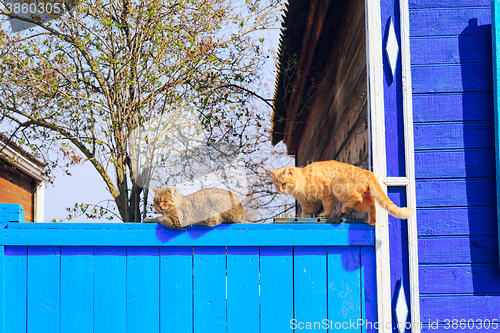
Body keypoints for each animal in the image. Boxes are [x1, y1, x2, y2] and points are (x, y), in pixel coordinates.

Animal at [270, 160, 414, 224]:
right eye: (276, 184)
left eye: (283, 183)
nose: (279, 189)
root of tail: (368, 172)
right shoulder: (308, 205)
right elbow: (305, 215)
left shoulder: (326, 195)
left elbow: (327, 208)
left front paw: (324, 215)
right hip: (362, 200)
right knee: (371, 206)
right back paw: (371, 222)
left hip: (339, 189)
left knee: (357, 198)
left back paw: (344, 208)